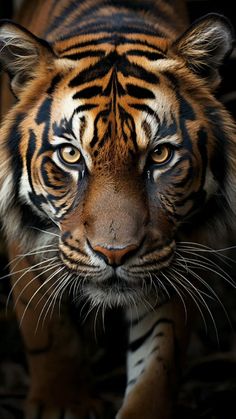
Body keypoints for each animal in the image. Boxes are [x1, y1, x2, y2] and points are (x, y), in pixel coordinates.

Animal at [0, 0, 235, 418]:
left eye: (159, 155)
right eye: (71, 154)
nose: (114, 254)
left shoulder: (172, 255)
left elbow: (157, 363)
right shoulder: (28, 242)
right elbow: (48, 329)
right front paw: (64, 403)